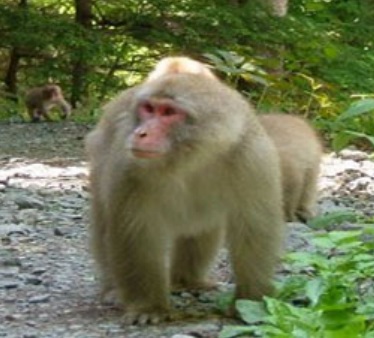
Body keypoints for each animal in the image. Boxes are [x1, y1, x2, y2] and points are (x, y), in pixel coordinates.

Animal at [85, 58, 284, 324]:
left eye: (169, 113)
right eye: (149, 109)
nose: (141, 133)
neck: (192, 158)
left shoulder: (253, 159)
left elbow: (254, 228)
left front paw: (249, 302)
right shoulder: (128, 167)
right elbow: (137, 230)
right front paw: (149, 307)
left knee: (203, 226)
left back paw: (187, 280)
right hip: (101, 152)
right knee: (105, 220)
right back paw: (114, 290)